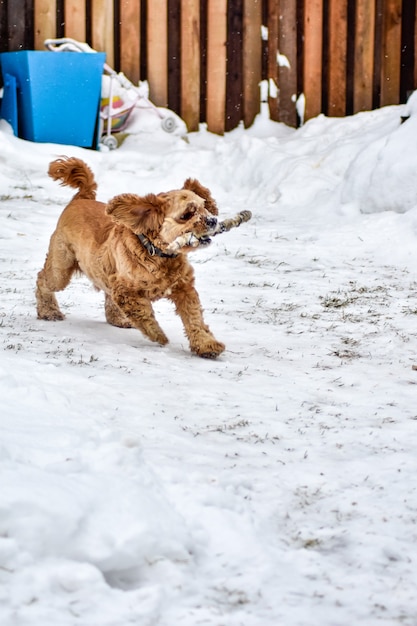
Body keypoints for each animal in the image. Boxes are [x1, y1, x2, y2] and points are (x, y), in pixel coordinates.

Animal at [35, 157, 224, 356]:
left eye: (204, 207)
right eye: (187, 214)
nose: (213, 220)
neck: (158, 254)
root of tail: (82, 198)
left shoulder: (184, 288)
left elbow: (194, 319)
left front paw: (207, 345)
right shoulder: (125, 290)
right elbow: (143, 313)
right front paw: (158, 335)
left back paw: (117, 319)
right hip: (61, 267)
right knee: (43, 279)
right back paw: (49, 312)